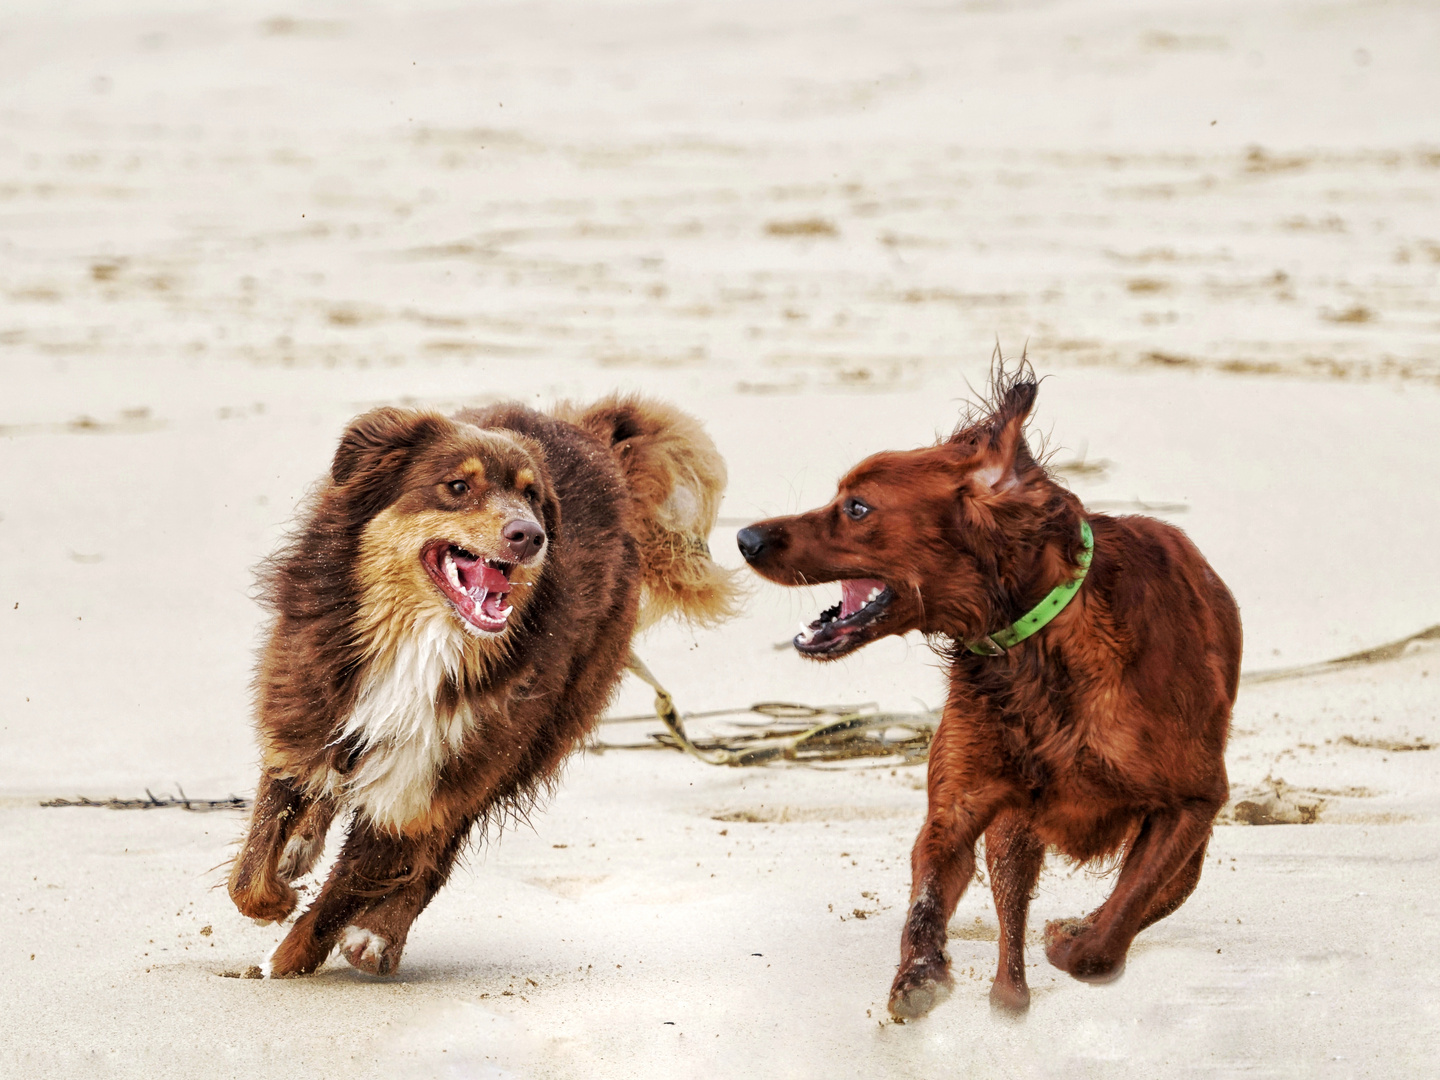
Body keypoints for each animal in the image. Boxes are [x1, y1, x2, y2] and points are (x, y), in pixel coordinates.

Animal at [231, 397, 743, 979]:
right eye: (457, 486)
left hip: (518, 747)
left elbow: (344, 894)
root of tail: (588, 431)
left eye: (532, 497)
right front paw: (276, 895)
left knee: (438, 855)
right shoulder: (306, 710)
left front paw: (286, 962)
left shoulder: (431, 781)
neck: (421, 645)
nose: (531, 534)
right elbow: (252, 865)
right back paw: (303, 846)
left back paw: (379, 937)